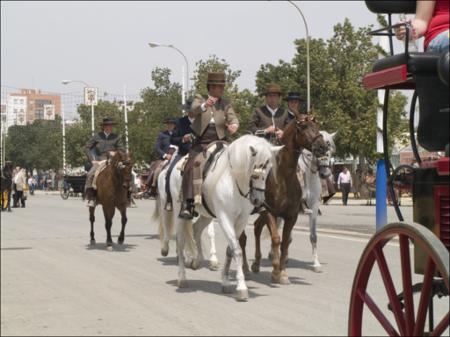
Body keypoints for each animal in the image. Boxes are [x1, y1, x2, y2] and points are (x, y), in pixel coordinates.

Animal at [171, 135, 282, 300]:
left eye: (268, 169)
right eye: (254, 169)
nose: (258, 200)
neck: (234, 181)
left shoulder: (241, 220)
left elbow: (230, 249)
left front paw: (225, 282)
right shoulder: (225, 218)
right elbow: (237, 250)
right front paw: (242, 287)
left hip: (207, 215)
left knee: (196, 230)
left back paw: (197, 260)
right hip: (180, 213)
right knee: (180, 241)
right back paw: (182, 278)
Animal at [239, 113, 326, 284]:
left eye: (317, 126)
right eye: (303, 127)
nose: (322, 147)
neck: (283, 176)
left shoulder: (291, 215)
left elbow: (285, 242)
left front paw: (283, 272)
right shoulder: (271, 212)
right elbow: (276, 238)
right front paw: (275, 271)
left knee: (257, 228)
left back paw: (256, 264)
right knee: (243, 238)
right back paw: (245, 268)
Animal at [298, 130, 336, 272]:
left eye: (330, 152)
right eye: (315, 151)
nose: (326, 174)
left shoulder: (313, 207)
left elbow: (313, 236)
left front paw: (316, 264)